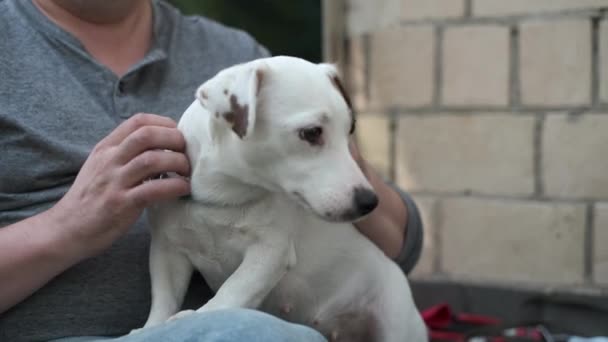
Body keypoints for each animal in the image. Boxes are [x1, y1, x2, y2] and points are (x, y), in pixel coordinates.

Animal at [142, 56, 428, 342]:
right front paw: (150, 328)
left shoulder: (271, 252)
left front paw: (198, 316)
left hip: (394, 321)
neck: (223, 197)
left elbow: (235, 288)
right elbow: (164, 298)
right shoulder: (167, 251)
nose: (369, 202)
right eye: (312, 132)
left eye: (351, 129)